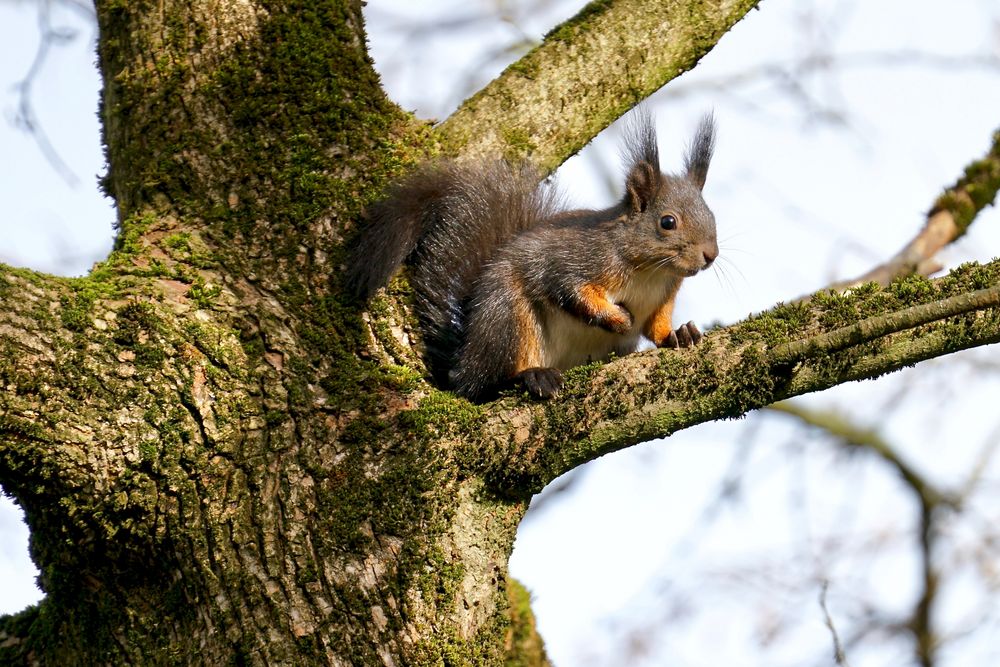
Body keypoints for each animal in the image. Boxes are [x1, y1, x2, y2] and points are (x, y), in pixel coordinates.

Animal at [348, 110, 716, 402]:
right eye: (667, 222)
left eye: (710, 214)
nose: (710, 255)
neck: (651, 271)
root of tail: (463, 361)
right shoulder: (576, 259)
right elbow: (568, 289)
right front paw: (616, 319)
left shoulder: (663, 297)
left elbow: (656, 325)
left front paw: (678, 334)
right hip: (507, 320)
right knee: (485, 385)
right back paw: (529, 376)